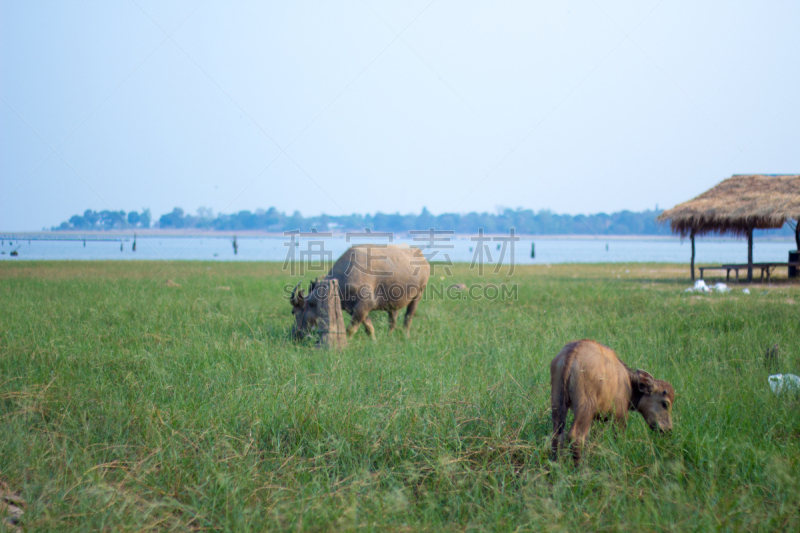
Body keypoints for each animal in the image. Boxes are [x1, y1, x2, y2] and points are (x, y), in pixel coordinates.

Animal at [290, 244, 428, 338]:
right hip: (393, 304)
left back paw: (406, 335)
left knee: (408, 317)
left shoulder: (364, 305)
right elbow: (369, 327)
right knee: (393, 320)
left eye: (295, 312)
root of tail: (422, 257)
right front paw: (374, 341)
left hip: (418, 295)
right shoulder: (354, 309)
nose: (295, 334)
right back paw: (389, 336)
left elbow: (350, 329)